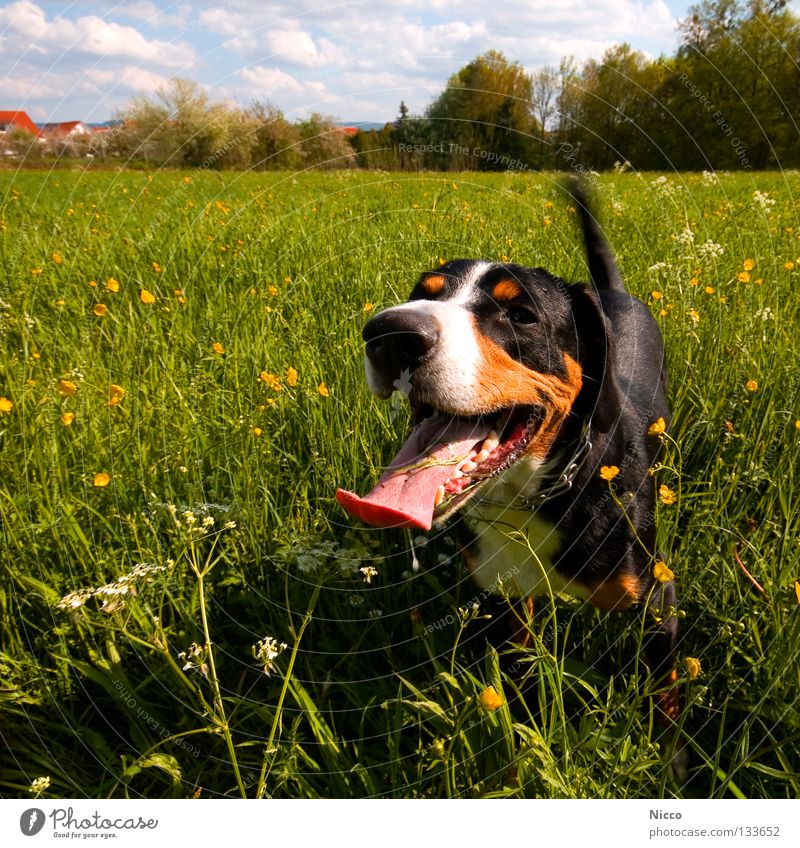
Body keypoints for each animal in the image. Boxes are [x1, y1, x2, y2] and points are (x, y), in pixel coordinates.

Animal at [334, 179, 680, 724]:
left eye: (521, 315)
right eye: (421, 294)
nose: (390, 333)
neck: (533, 499)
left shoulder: (657, 601)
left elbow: (664, 702)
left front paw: (666, 748)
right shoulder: (507, 596)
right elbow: (522, 677)